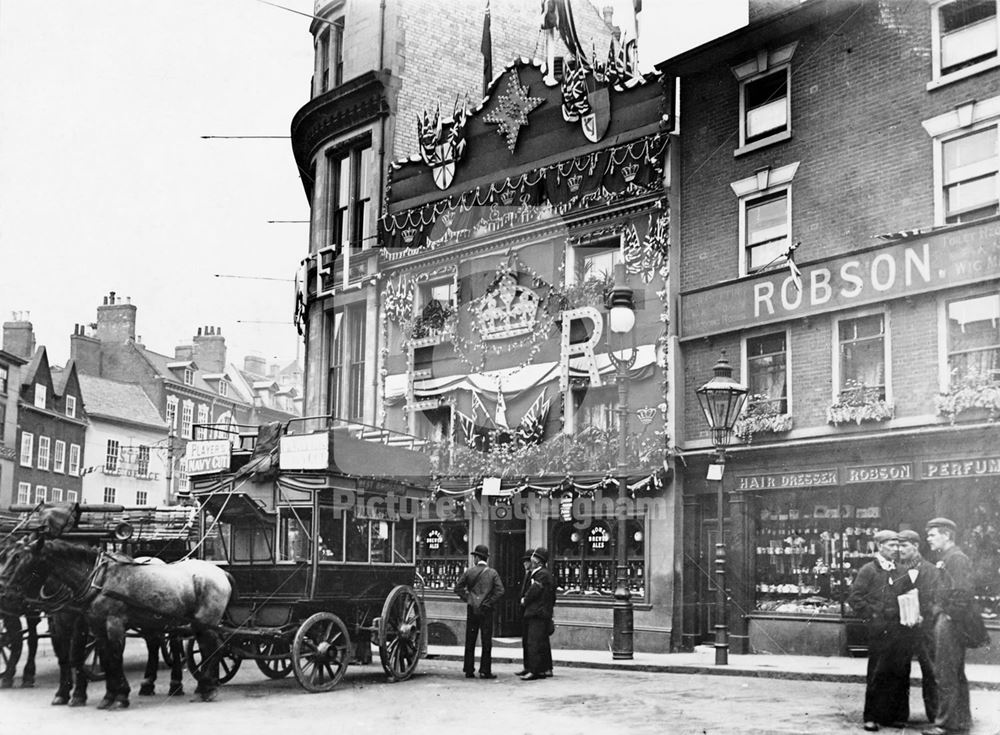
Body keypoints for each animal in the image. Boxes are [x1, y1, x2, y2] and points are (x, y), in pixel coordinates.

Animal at [0, 536, 230, 712]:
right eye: (7, 556)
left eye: (20, 559)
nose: (5, 593)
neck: (99, 580)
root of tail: (221, 572)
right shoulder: (95, 627)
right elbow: (105, 657)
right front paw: (108, 696)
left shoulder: (112, 624)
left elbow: (112, 657)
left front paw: (119, 696)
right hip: (184, 624)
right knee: (202, 648)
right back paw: (201, 687)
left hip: (203, 623)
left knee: (213, 648)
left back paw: (203, 688)